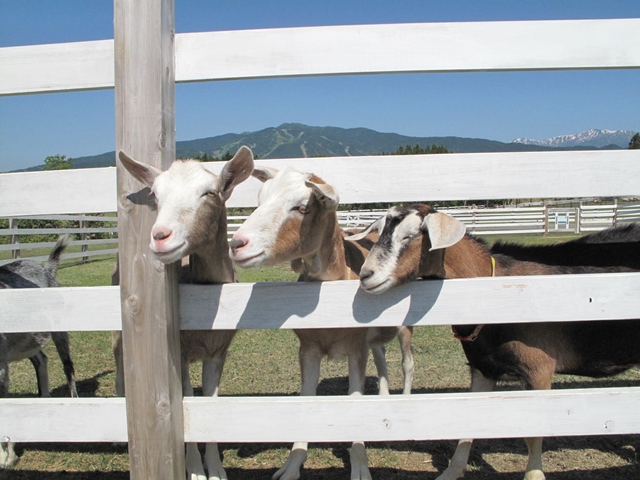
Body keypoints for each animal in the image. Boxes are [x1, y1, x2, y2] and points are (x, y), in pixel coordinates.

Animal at [0, 235, 77, 469]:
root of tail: (46, 269)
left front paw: (7, 458)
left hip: (59, 330)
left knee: (68, 366)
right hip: (29, 339)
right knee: (41, 360)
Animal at [115, 146, 254, 480]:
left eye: (210, 192)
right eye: (155, 195)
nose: (160, 236)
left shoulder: (218, 350)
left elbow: (209, 400)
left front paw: (215, 470)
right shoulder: (179, 351)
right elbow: (186, 400)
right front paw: (194, 470)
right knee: (117, 352)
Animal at [228, 166, 414, 480]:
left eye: (302, 207)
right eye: (260, 200)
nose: (237, 244)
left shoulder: (355, 349)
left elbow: (354, 398)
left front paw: (360, 466)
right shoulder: (309, 348)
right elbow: (307, 398)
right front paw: (291, 466)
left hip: (404, 324)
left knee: (407, 362)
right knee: (381, 356)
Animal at [351, 204, 640, 480]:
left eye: (410, 236)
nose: (366, 275)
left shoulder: (539, 370)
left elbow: (534, 433)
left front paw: (534, 475)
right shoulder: (483, 368)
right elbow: (472, 419)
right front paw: (450, 473)